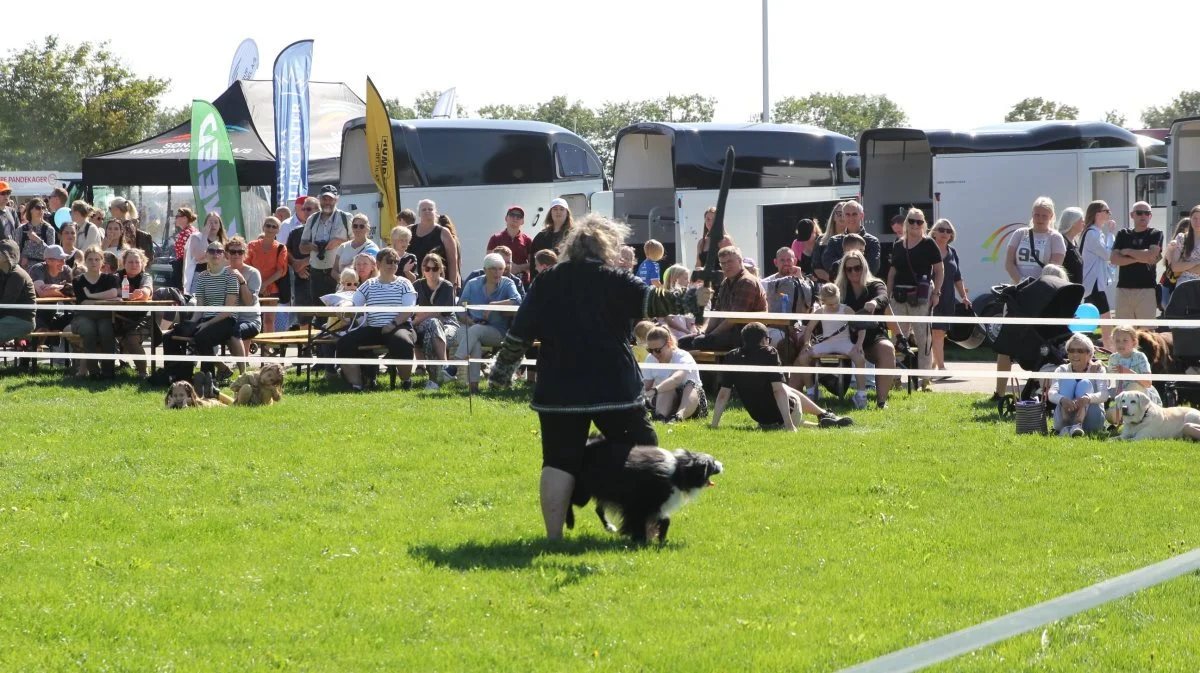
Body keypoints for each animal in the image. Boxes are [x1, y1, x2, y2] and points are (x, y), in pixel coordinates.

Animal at [568, 436, 724, 539]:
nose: (723, 465)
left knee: (598, 509)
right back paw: (570, 521)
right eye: (713, 463)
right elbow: (638, 523)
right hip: (583, 494)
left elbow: (665, 520)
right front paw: (640, 541)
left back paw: (609, 526)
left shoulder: (654, 506)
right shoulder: (639, 505)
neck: (679, 471)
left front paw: (661, 539)